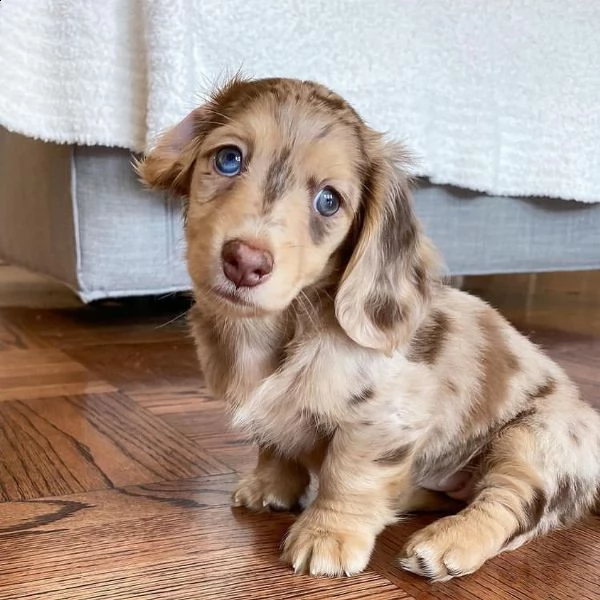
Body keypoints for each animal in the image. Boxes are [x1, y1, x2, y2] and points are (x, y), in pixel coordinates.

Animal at [136, 76, 600, 580]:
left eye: (328, 201)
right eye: (228, 159)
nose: (245, 261)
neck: (284, 326)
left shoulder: (381, 420)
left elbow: (350, 474)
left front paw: (328, 535)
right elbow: (274, 445)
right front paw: (269, 487)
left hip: (536, 438)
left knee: (507, 503)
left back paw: (449, 541)